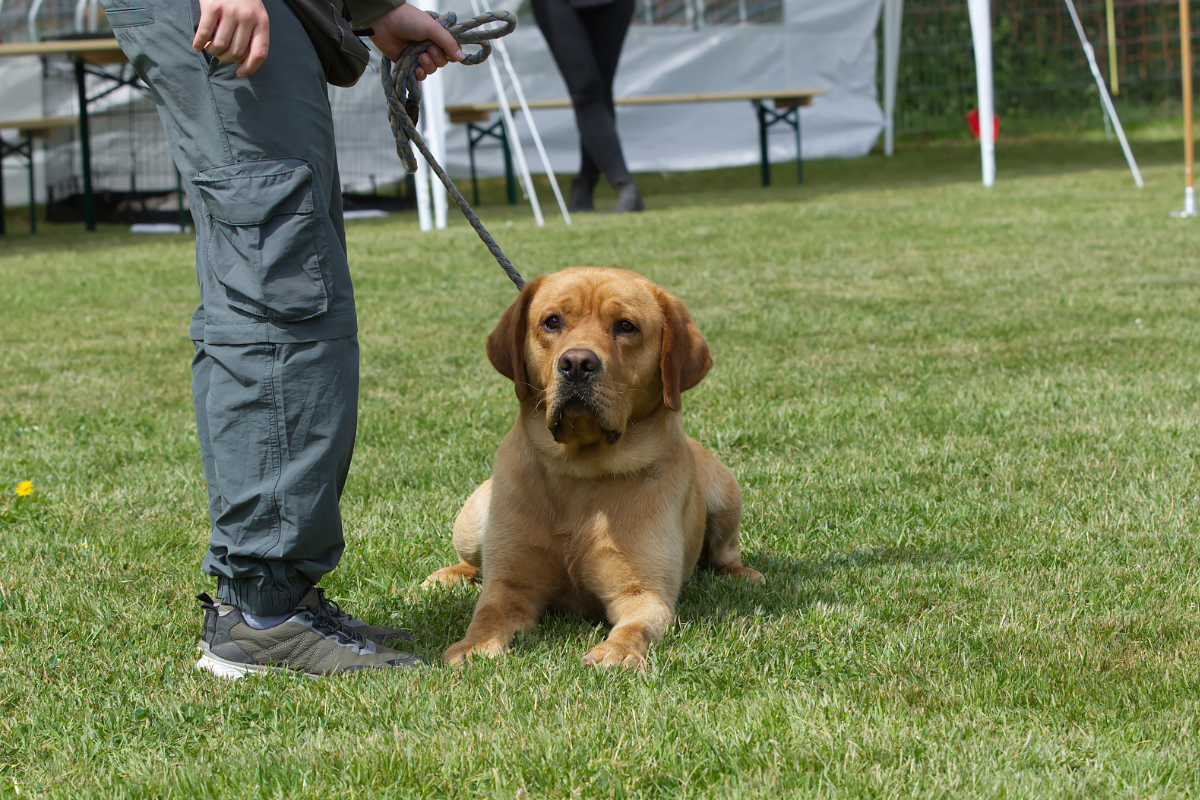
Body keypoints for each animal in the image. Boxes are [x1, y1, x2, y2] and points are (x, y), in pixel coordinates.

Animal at [425, 267, 764, 668]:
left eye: (626, 326)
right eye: (552, 321)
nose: (576, 363)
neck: (581, 472)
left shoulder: (644, 591)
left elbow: (636, 628)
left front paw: (616, 651)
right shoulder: (511, 583)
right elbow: (487, 614)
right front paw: (474, 646)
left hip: (725, 491)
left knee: (724, 554)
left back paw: (743, 574)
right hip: (472, 516)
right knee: (475, 563)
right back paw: (447, 575)